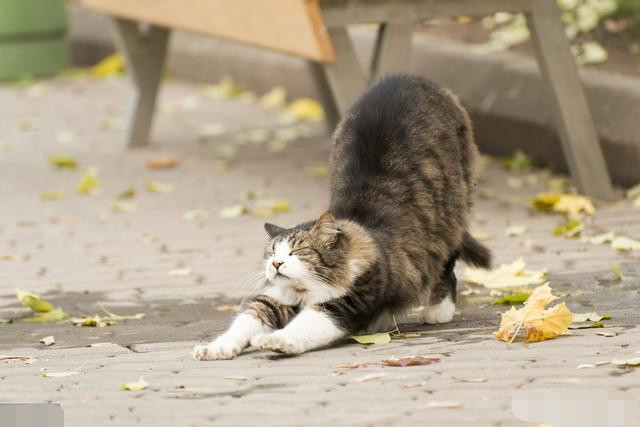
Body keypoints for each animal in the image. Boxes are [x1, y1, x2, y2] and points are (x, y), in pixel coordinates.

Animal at [194, 74, 490, 362]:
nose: (276, 263)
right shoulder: (274, 300)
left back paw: (438, 311)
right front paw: (216, 348)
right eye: (271, 254)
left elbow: (305, 325)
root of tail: (410, 77)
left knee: (447, 268)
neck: (306, 292)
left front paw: (277, 341)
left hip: (451, 217)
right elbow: (245, 321)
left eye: (297, 252)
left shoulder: (345, 303)